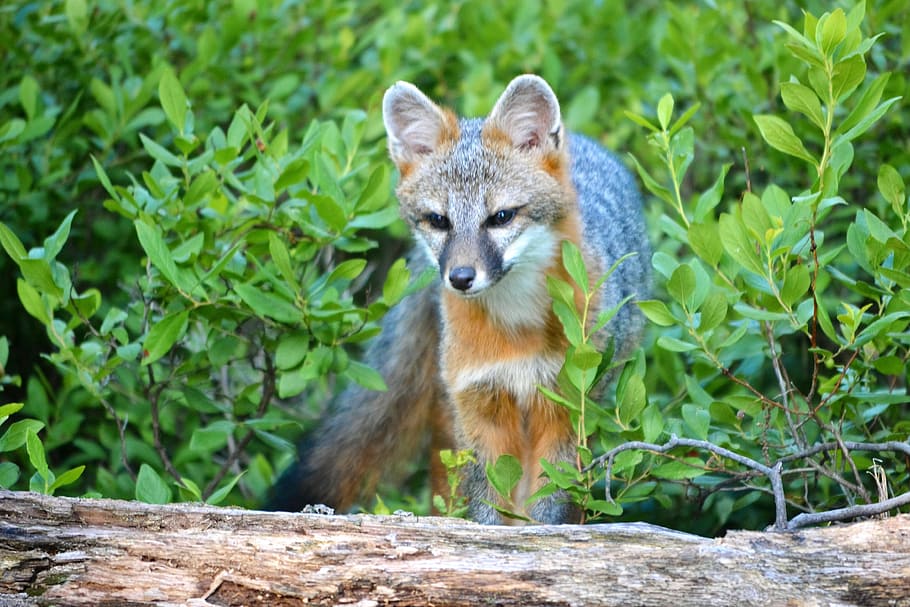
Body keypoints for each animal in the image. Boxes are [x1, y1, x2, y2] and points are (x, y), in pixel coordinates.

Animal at [267, 74, 650, 524]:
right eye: (438, 221)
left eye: (501, 217)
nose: (460, 278)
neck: (516, 329)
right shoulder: (479, 407)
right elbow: (486, 503)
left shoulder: (565, 408)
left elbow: (548, 503)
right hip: (450, 415)